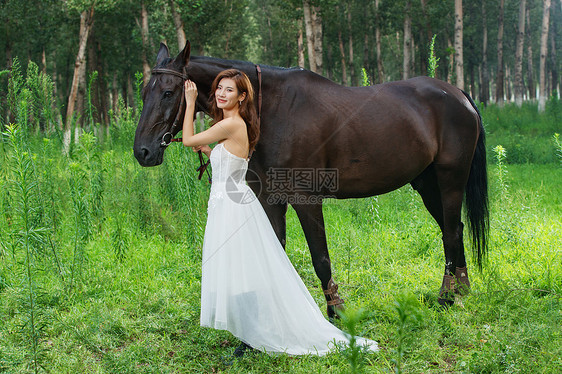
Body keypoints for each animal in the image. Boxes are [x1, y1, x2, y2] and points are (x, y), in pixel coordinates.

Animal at [132, 42, 486, 318]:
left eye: (168, 92)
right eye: (144, 92)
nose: (143, 151)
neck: (272, 110)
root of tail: (458, 95)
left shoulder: (306, 200)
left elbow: (321, 258)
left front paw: (336, 311)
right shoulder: (270, 199)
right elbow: (276, 250)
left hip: (450, 180)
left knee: (451, 231)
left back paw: (447, 297)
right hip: (426, 183)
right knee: (454, 229)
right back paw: (461, 289)